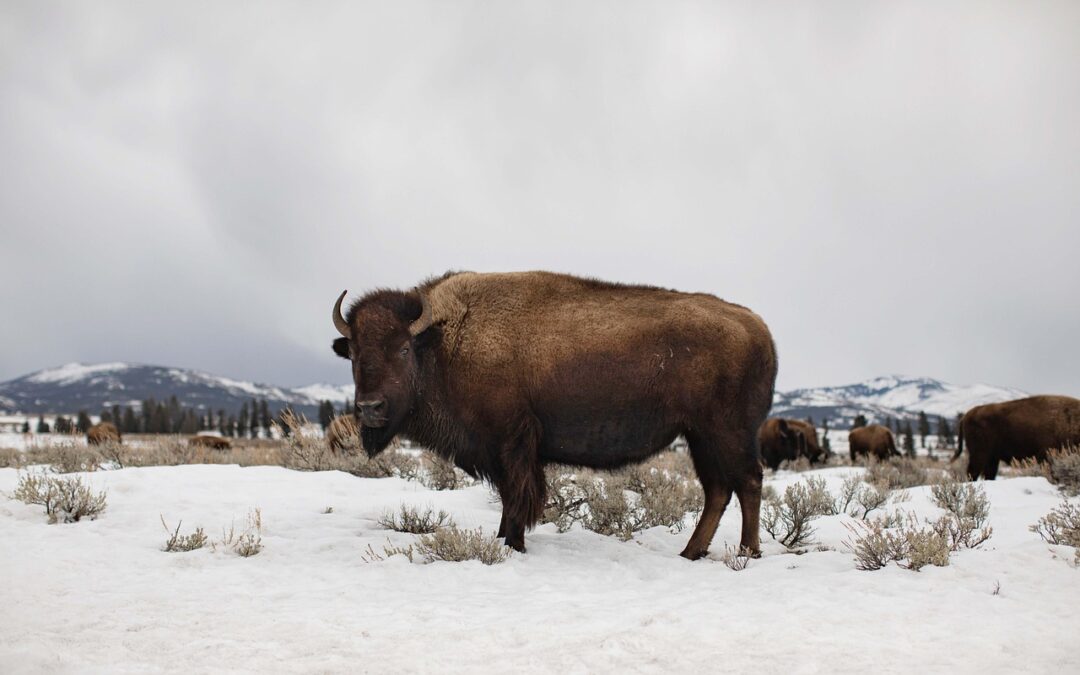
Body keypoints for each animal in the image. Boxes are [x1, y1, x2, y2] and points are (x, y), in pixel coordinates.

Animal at [328, 270, 777, 557]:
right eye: (353, 354)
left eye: (403, 349)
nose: (369, 408)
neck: (444, 341)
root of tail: (759, 328)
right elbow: (509, 496)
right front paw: (503, 539)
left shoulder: (512, 443)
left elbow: (517, 496)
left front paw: (512, 543)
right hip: (700, 436)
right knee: (718, 490)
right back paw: (691, 552)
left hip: (727, 433)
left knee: (748, 482)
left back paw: (747, 552)